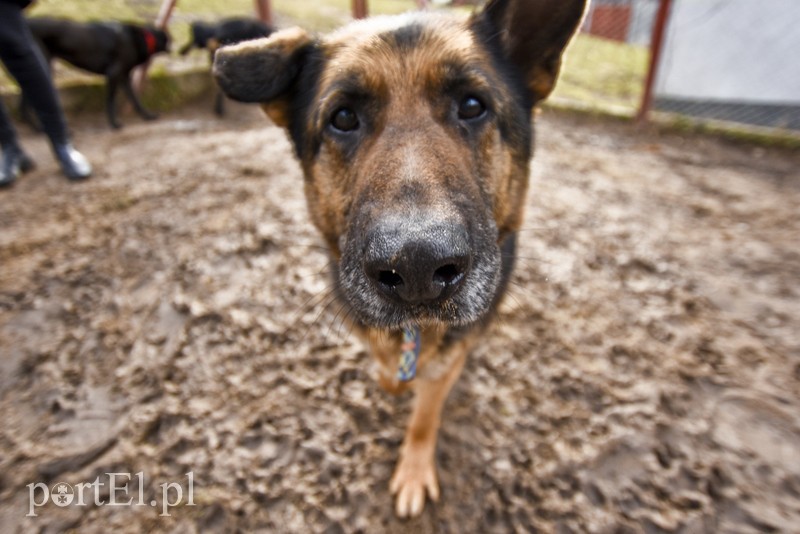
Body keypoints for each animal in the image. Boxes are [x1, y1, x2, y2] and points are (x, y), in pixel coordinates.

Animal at [26, 17, 170, 130]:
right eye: (169, 40)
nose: (173, 47)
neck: (142, 38)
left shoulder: (124, 77)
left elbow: (135, 99)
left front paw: (147, 116)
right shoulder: (113, 74)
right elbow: (111, 100)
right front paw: (114, 124)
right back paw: (37, 128)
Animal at [212, 0, 588, 520]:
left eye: (473, 106)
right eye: (343, 117)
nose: (417, 266)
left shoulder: (448, 354)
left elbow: (425, 414)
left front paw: (413, 467)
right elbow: (389, 371)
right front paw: (391, 380)